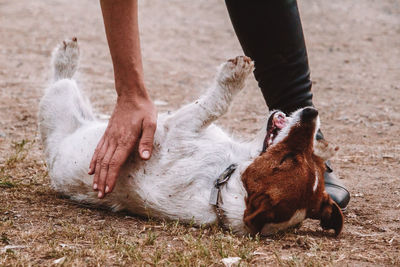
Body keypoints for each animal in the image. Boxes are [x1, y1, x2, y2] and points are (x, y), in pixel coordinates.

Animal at [39, 38, 342, 237]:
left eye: (286, 158)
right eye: (311, 158)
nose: (312, 112)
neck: (223, 179)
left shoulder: (177, 128)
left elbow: (213, 104)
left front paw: (235, 74)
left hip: (60, 99)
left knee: (60, 78)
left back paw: (67, 55)